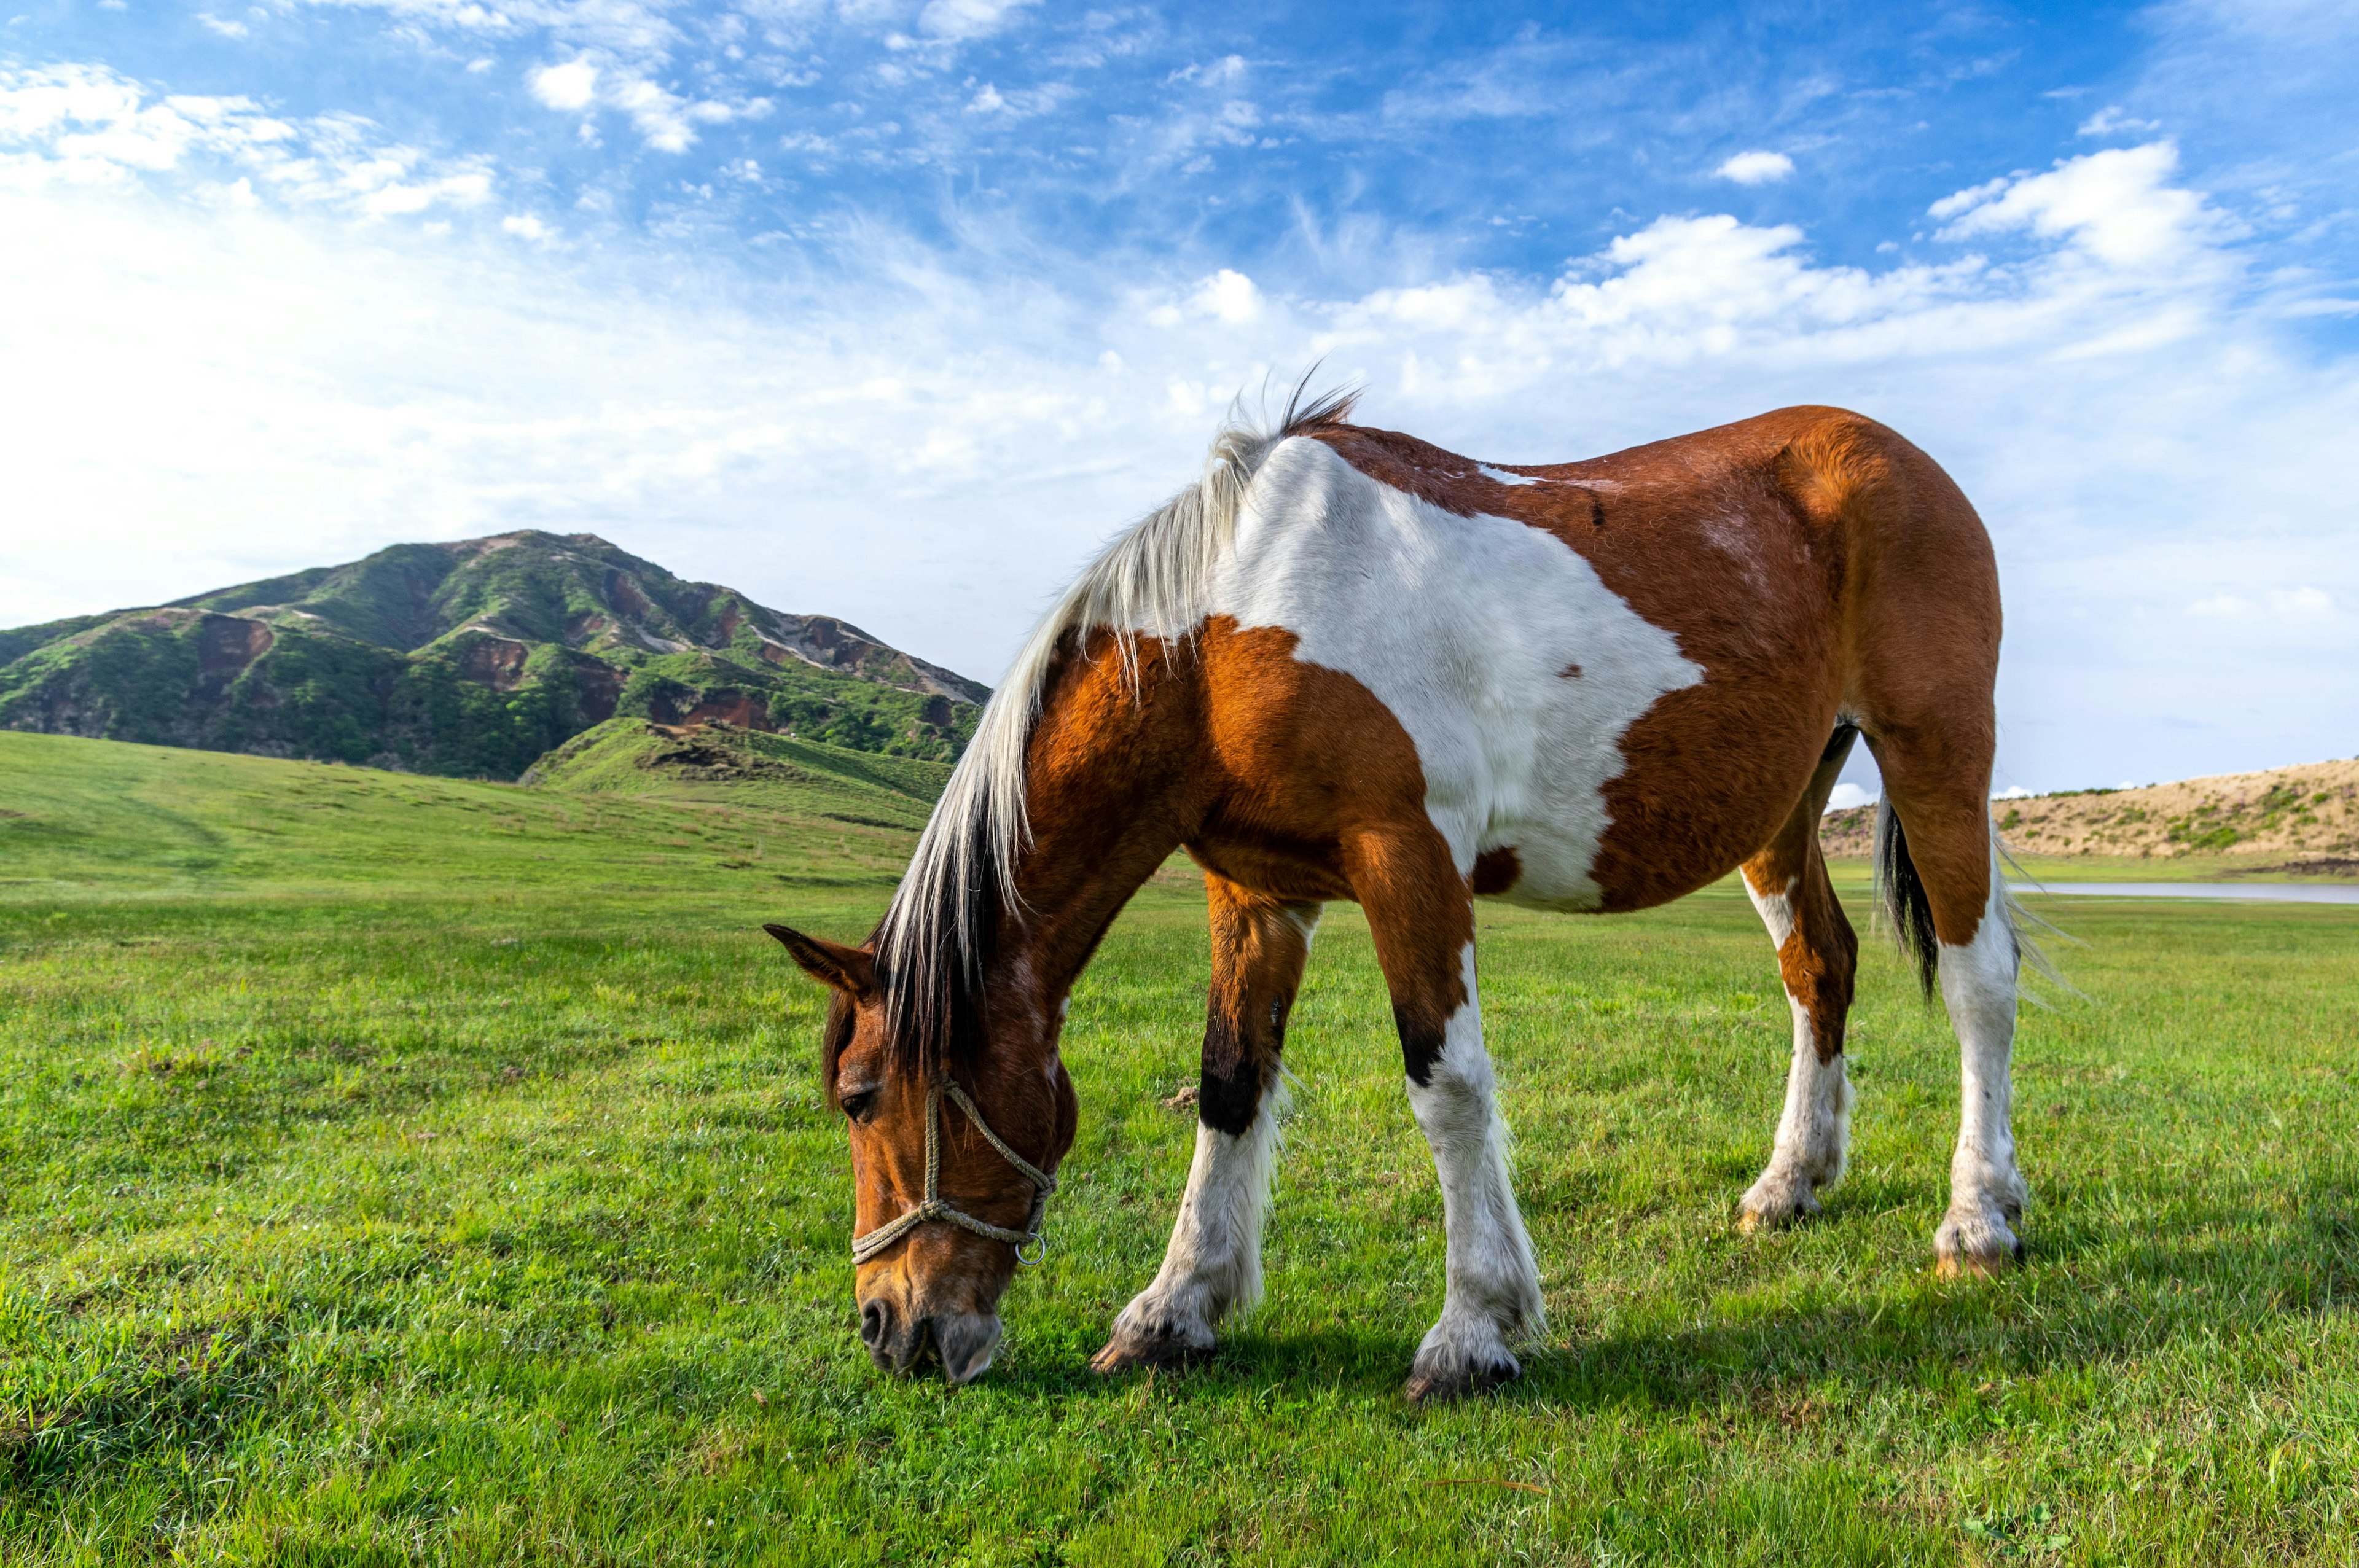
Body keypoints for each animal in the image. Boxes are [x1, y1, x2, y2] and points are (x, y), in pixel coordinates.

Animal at [769, 391, 2028, 1395]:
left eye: (861, 1098)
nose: (888, 1326)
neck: (1232, 626)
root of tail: (1899, 460)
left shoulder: (1407, 856)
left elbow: (1447, 1084)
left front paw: (1474, 1327)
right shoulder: (1255, 891)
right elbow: (1230, 1085)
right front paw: (1174, 1310)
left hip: (1936, 757)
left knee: (1980, 983)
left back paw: (1980, 1212)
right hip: (1779, 812)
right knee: (1819, 969)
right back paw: (1791, 1180)